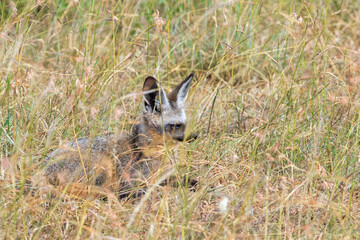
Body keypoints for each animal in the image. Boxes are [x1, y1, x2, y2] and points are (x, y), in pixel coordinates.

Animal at [44, 72, 200, 199]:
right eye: (175, 125)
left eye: (185, 123)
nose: (195, 136)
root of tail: (43, 169)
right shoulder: (137, 179)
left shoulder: (165, 176)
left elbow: (185, 180)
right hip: (104, 164)